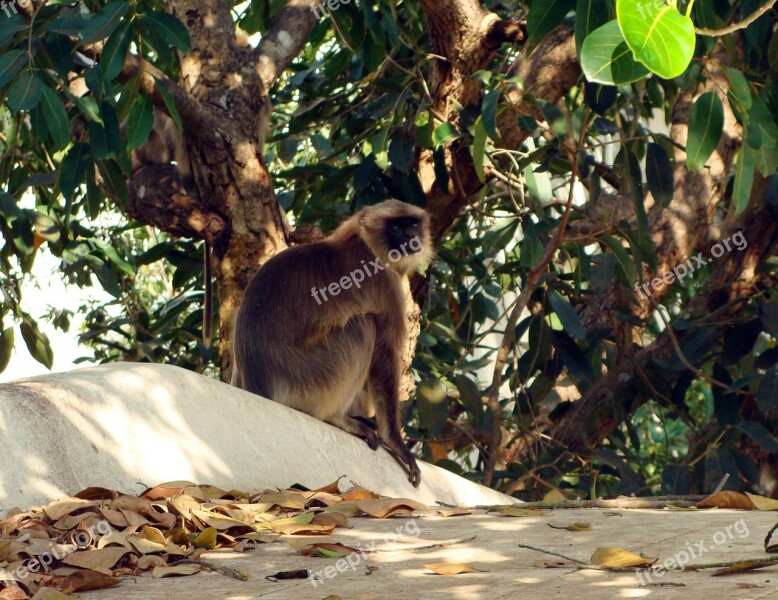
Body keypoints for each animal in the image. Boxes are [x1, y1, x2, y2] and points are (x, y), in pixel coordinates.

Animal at [233, 199, 434, 486]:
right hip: (314, 380)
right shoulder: (383, 280)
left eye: (413, 225)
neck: (361, 241)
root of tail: (258, 384)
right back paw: (337, 418)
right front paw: (397, 444)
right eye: (396, 227)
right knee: (363, 324)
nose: (410, 238)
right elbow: (385, 354)